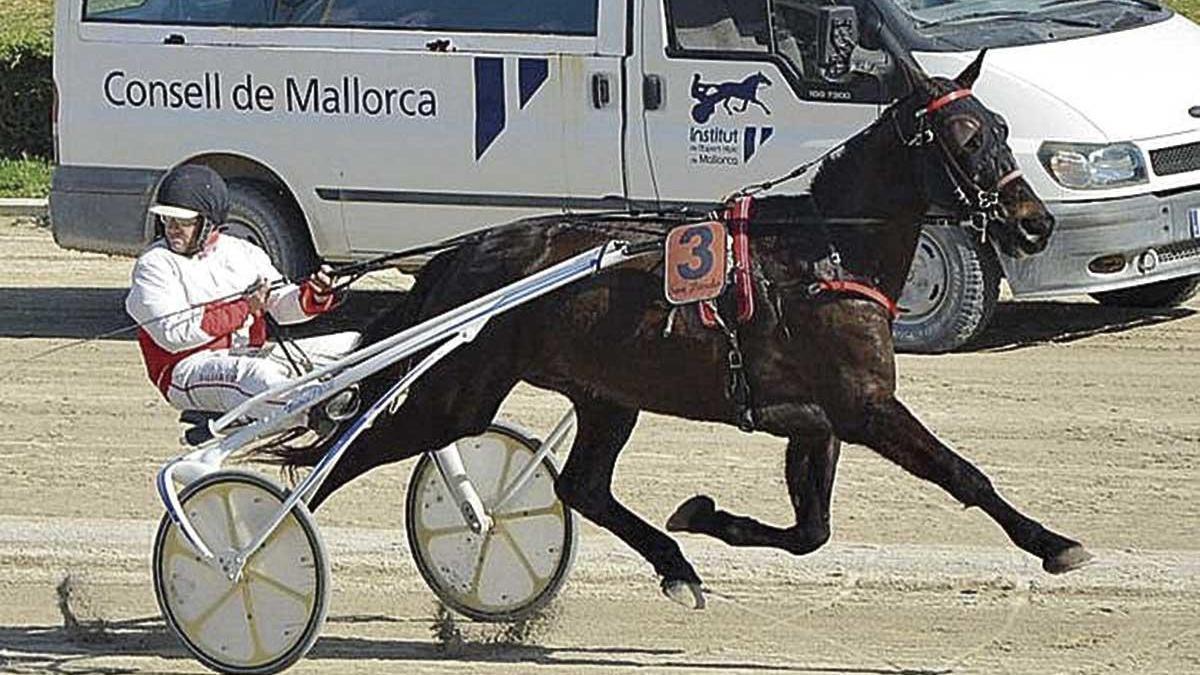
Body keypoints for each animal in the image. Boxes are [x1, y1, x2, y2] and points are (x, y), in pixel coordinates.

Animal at [267, 53, 1094, 605]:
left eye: (1001, 126)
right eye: (965, 135)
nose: (1035, 223)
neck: (825, 251)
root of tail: (469, 250)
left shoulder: (817, 415)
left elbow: (812, 529)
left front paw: (705, 517)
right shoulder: (865, 406)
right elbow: (964, 473)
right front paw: (1056, 543)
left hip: (604, 393)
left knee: (582, 484)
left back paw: (675, 564)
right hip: (459, 391)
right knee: (353, 454)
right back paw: (269, 548)